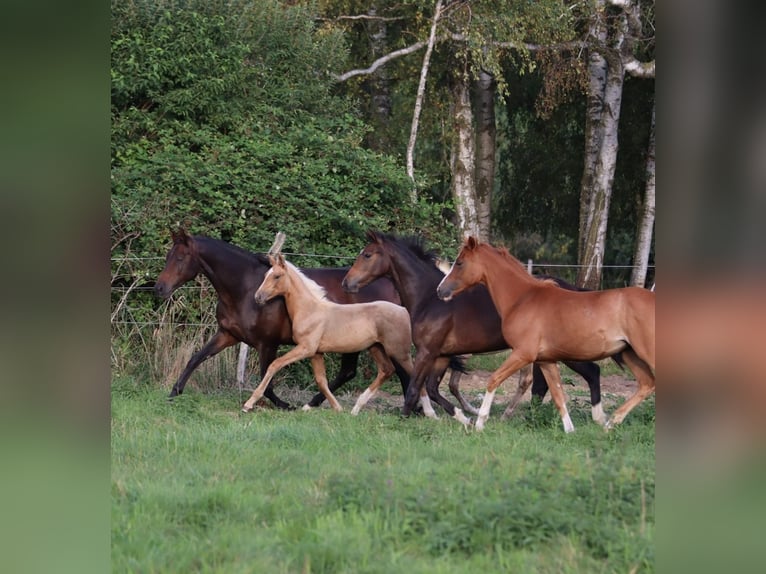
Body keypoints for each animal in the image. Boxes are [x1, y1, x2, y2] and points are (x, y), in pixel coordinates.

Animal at [154, 228, 410, 409]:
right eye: (168, 256)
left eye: (181, 258)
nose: (159, 288)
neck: (245, 288)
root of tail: (392, 284)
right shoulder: (227, 335)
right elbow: (195, 359)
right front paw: (173, 393)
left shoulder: (267, 343)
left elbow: (267, 378)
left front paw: (282, 405)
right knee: (350, 372)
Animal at [241, 247, 433, 417]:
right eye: (266, 276)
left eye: (277, 276)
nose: (258, 297)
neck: (310, 310)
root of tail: (403, 310)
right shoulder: (316, 353)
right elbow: (321, 380)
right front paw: (336, 408)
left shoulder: (305, 348)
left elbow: (275, 365)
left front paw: (248, 404)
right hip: (376, 347)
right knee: (386, 370)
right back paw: (356, 408)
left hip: (399, 351)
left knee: (414, 375)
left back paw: (430, 413)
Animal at [341, 231, 607, 427]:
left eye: (367, 255)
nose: (346, 282)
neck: (430, 299)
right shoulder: (442, 355)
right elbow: (433, 389)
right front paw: (465, 418)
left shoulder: (427, 352)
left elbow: (415, 388)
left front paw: (404, 419)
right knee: (543, 384)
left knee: (590, 372)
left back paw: (597, 418)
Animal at [437, 236, 655, 432]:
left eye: (460, 262)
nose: (440, 290)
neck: (522, 299)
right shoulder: (545, 360)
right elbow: (558, 395)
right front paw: (570, 430)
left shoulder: (523, 354)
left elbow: (493, 379)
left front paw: (480, 422)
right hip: (629, 354)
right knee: (646, 384)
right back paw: (611, 422)